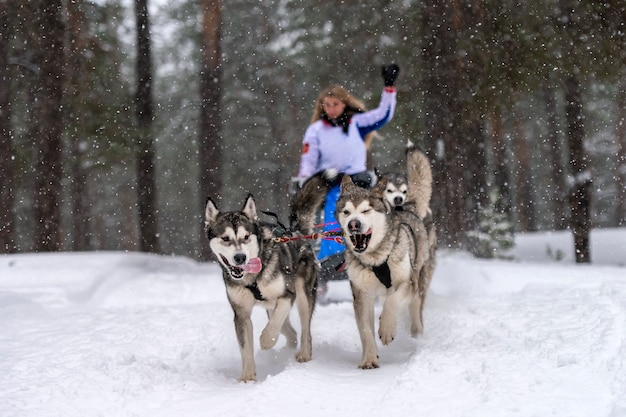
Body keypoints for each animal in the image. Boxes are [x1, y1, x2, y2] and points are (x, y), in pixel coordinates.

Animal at [205, 195, 316, 380]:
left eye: (246, 236)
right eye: (225, 238)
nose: (240, 257)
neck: (253, 278)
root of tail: (296, 232)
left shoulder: (287, 295)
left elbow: (273, 326)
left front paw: (266, 342)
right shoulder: (241, 313)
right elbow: (245, 348)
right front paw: (247, 377)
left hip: (302, 296)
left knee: (304, 329)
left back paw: (304, 354)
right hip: (271, 307)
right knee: (290, 332)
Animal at [336, 145, 434, 368]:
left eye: (366, 210)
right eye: (346, 212)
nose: (353, 224)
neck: (376, 258)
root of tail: (407, 207)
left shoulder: (406, 282)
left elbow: (393, 301)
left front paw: (387, 329)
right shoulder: (361, 294)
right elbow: (365, 330)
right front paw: (369, 359)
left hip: (419, 279)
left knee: (415, 307)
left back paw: (416, 334)